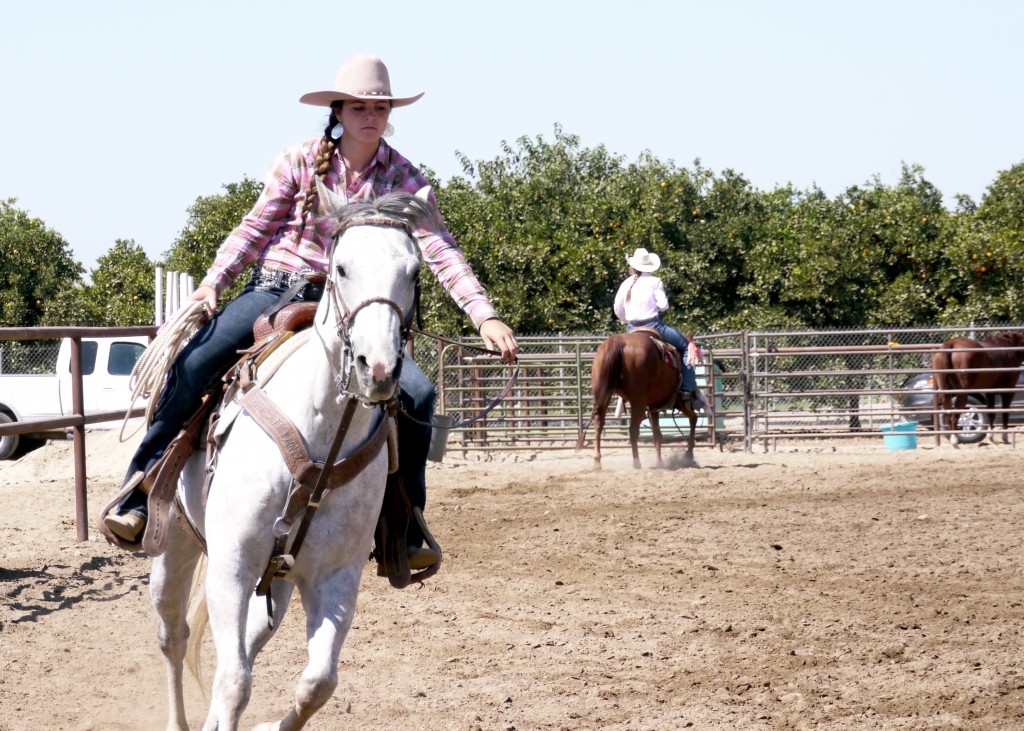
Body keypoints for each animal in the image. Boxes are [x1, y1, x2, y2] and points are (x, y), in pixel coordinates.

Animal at [577, 329, 704, 466]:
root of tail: (617, 342)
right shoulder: (677, 402)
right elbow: (693, 418)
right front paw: (688, 454)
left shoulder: (654, 406)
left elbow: (657, 434)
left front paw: (660, 463)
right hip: (638, 401)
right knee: (633, 429)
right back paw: (636, 463)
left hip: (602, 394)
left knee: (599, 423)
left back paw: (597, 462)